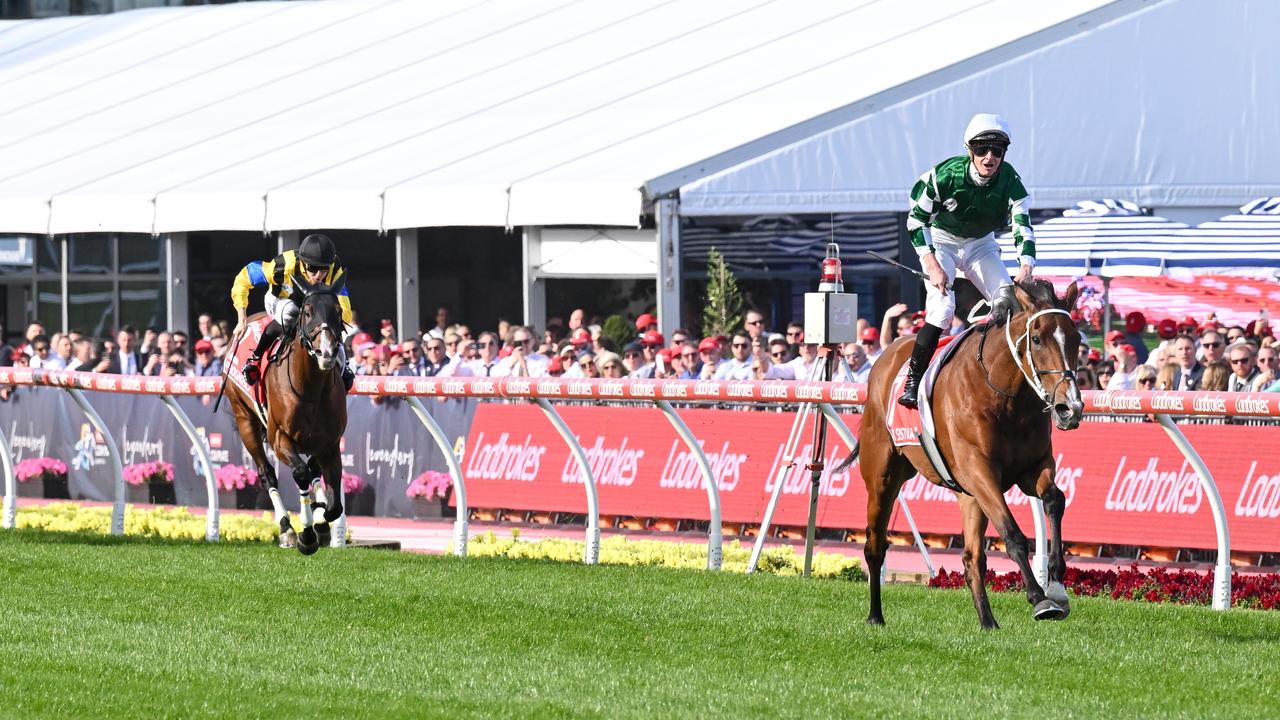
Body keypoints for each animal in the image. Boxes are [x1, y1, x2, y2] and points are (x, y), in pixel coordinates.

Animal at [225, 272, 345, 548]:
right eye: (308, 312)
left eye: (338, 311)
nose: (327, 352)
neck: (311, 390)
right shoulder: (279, 437)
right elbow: (300, 473)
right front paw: (306, 533)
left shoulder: (330, 443)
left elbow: (334, 506)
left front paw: (320, 520)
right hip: (244, 418)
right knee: (267, 473)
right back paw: (286, 528)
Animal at [849, 278, 1080, 625]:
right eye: (1037, 339)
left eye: (1077, 339)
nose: (1070, 408)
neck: (1004, 395)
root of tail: (884, 355)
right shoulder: (979, 470)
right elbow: (1013, 534)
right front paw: (1039, 598)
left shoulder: (1032, 467)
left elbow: (1055, 500)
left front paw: (1056, 586)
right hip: (882, 477)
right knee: (875, 545)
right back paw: (875, 616)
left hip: (967, 495)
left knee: (972, 558)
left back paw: (988, 623)